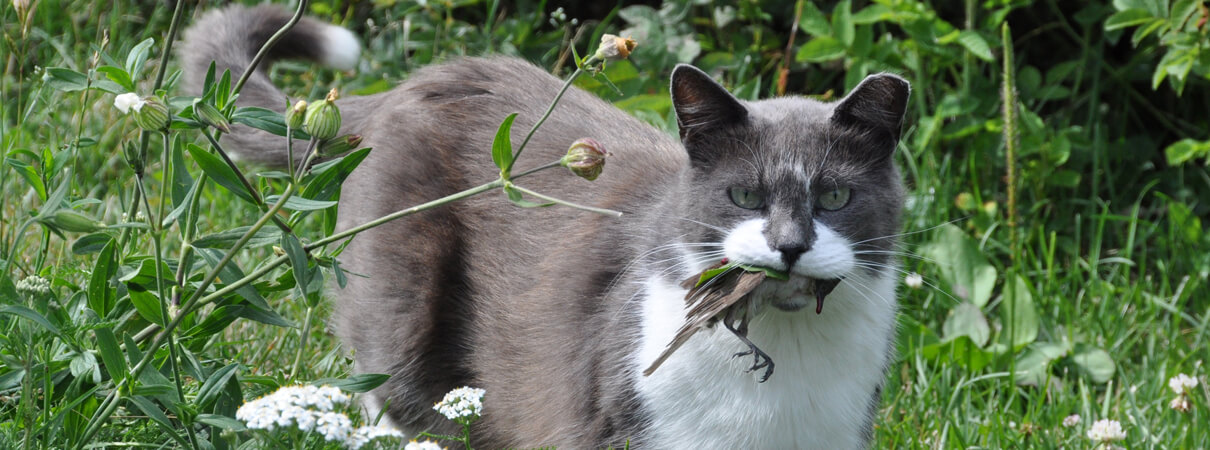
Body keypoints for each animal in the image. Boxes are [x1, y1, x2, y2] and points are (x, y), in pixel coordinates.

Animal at [181, 5, 909, 447]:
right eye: (745, 194)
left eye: (835, 195)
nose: (789, 246)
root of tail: (411, 83)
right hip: (402, 312)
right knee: (396, 397)